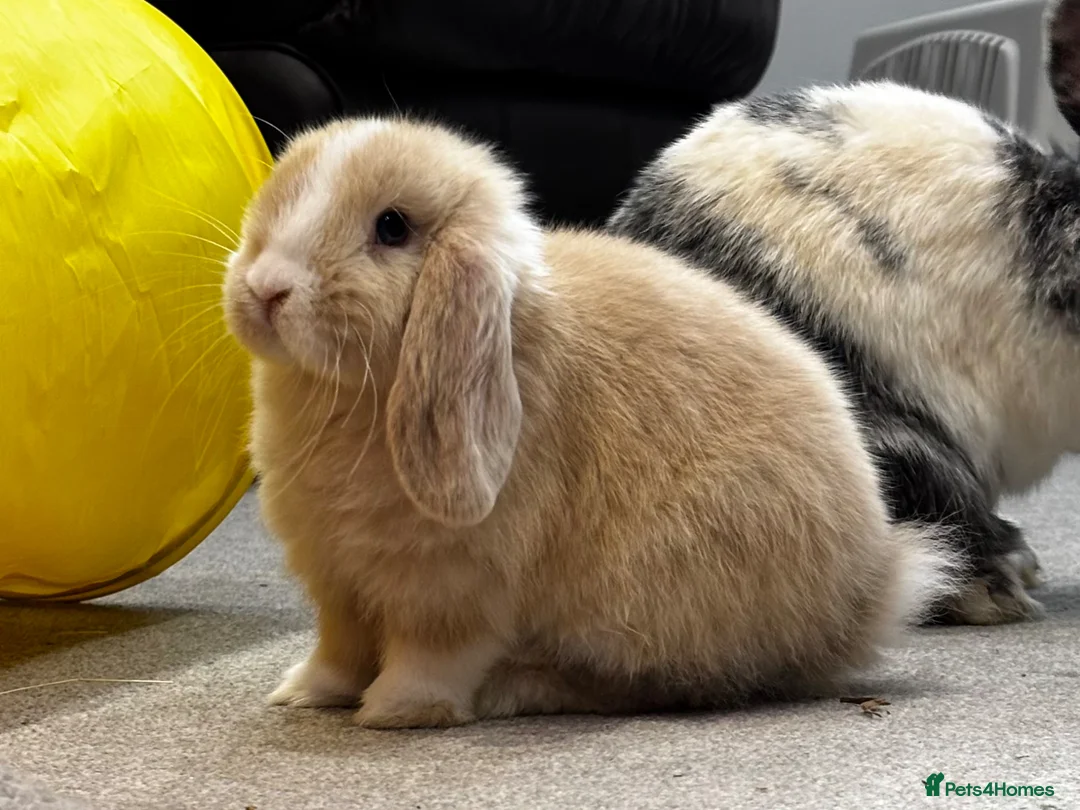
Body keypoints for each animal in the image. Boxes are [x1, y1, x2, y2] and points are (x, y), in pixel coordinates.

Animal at [221, 115, 958, 729]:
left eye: (393, 227)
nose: (266, 287)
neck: (346, 395)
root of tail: (868, 594)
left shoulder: (454, 586)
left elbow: (430, 656)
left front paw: (395, 713)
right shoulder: (335, 581)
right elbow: (337, 648)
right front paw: (302, 694)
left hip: (652, 602)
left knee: (661, 686)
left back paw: (515, 689)